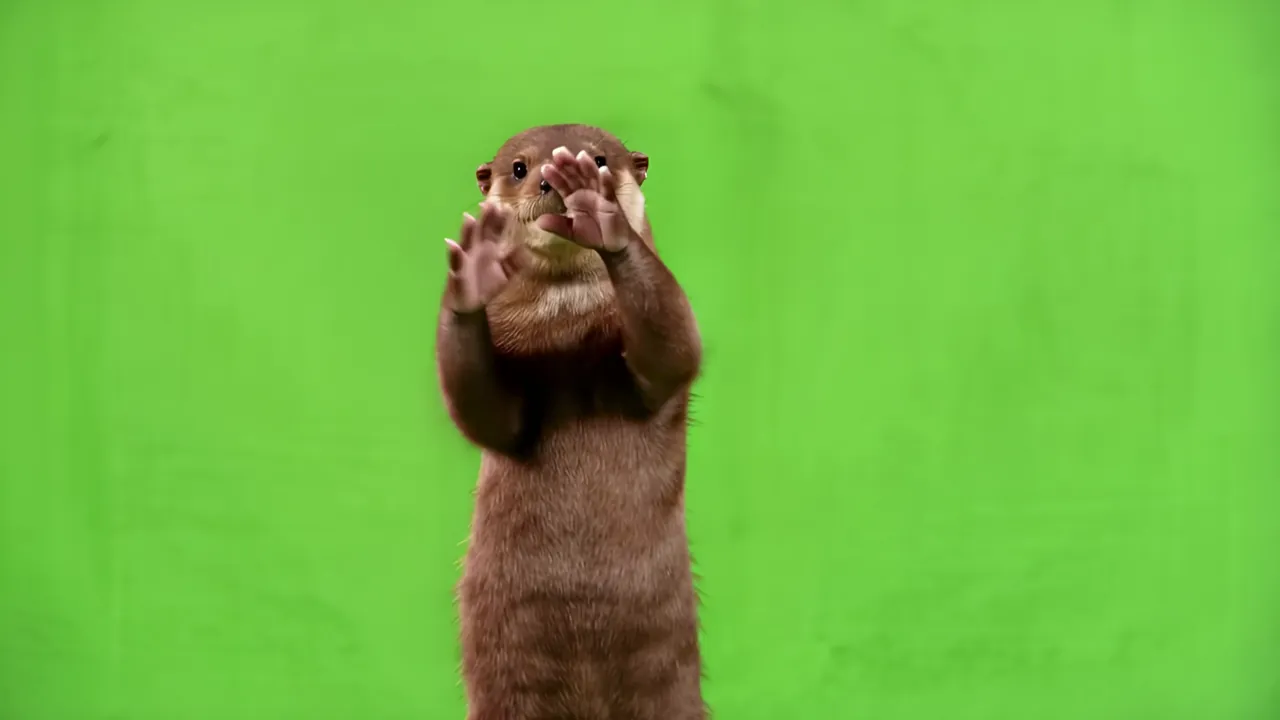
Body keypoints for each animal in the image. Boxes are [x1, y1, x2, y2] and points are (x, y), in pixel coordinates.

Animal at [435, 124, 706, 719]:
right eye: (518, 167)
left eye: (600, 159)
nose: (552, 179)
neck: (567, 328)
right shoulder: (510, 398)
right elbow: (483, 416)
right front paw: (471, 274)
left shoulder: (657, 374)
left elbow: (676, 348)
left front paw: (607, 221)